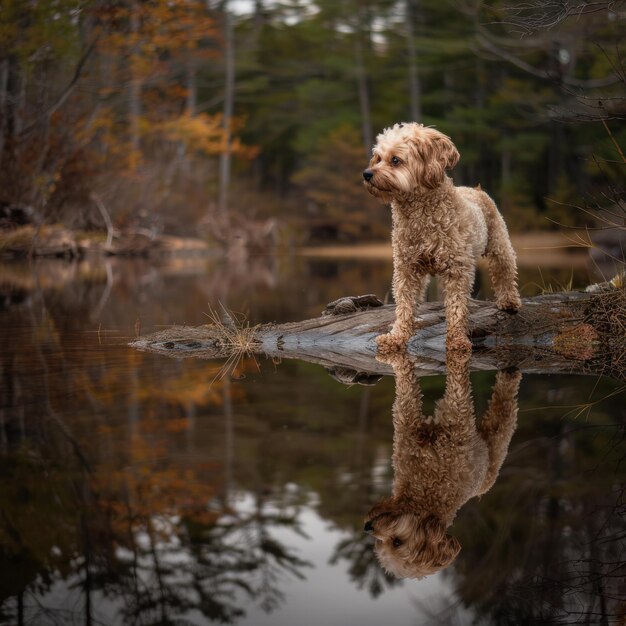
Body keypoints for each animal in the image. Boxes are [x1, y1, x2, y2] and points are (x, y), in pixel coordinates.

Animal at [358, 122, 520, 352]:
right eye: (378, 157)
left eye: (395, 160)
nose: (367, 174)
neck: (420, 214)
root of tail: (476, 189)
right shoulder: (406, 268)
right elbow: (405, 305)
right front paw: (397, 336)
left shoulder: (456, 269)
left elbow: (456, 307)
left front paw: (457, 340)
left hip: (499, 243)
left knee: (505, 271)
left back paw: (509, 302)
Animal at [364, 354, 520, 576]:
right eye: (384, 544)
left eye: (397, 542)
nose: (368, 527)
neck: (425, 497)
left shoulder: (450, 417)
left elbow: (412, 391)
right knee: (501, 415)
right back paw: (509, 373)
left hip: (492, 456)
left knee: (504, 417)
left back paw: (509, 377)